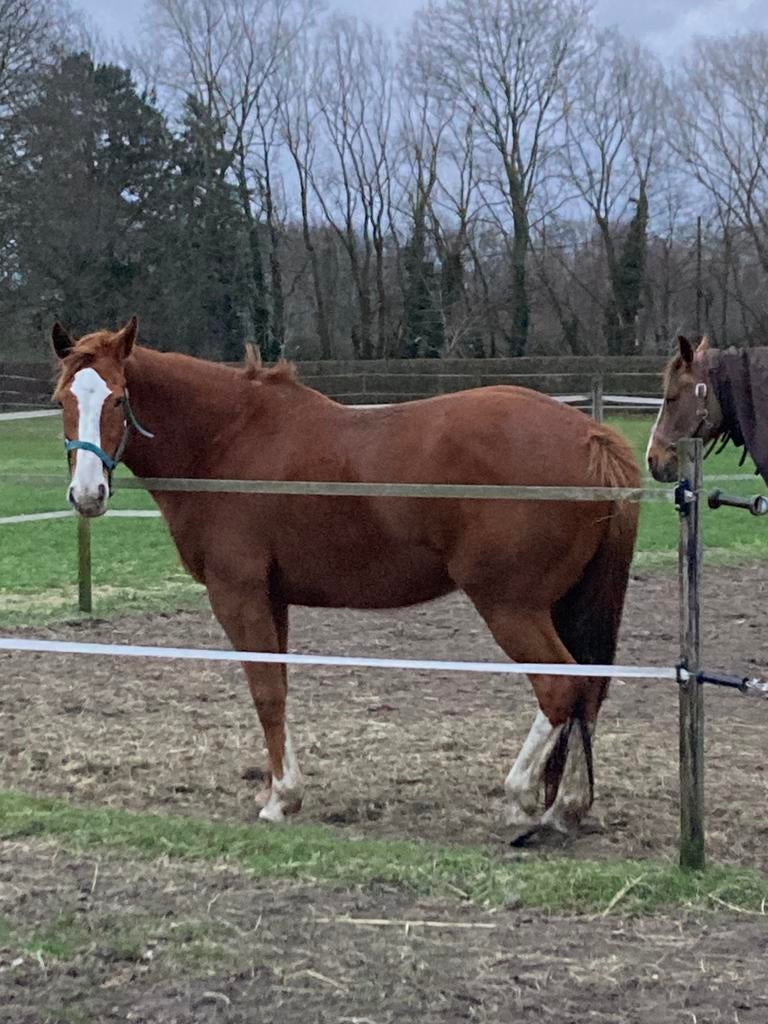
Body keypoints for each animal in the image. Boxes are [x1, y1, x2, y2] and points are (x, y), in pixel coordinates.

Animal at [52, 317, 640, 835]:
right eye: (62, 400)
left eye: (118, 399)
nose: (87, 494)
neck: (227, 440)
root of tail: (591, 435)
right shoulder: (273, 598)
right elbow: (279, 687)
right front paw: (278, 788)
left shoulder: (238, 594)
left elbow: (266, 692)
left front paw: (281, 800)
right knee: (589, 692)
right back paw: (568, 805)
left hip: (511, 606)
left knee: (560, 687)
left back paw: (522, 797)